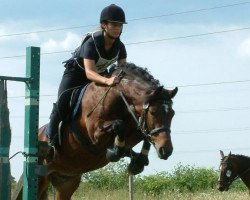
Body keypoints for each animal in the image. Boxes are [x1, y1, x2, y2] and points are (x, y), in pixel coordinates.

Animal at [37, 63, 178, 200]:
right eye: (153, 112)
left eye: (172, 114)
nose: (166, 150)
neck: (117, 96)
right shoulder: (94, 134)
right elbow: (119, 125)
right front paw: (114, 152)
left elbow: (142, 133)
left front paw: (138, 161)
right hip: (41, 177)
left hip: (67, 181)